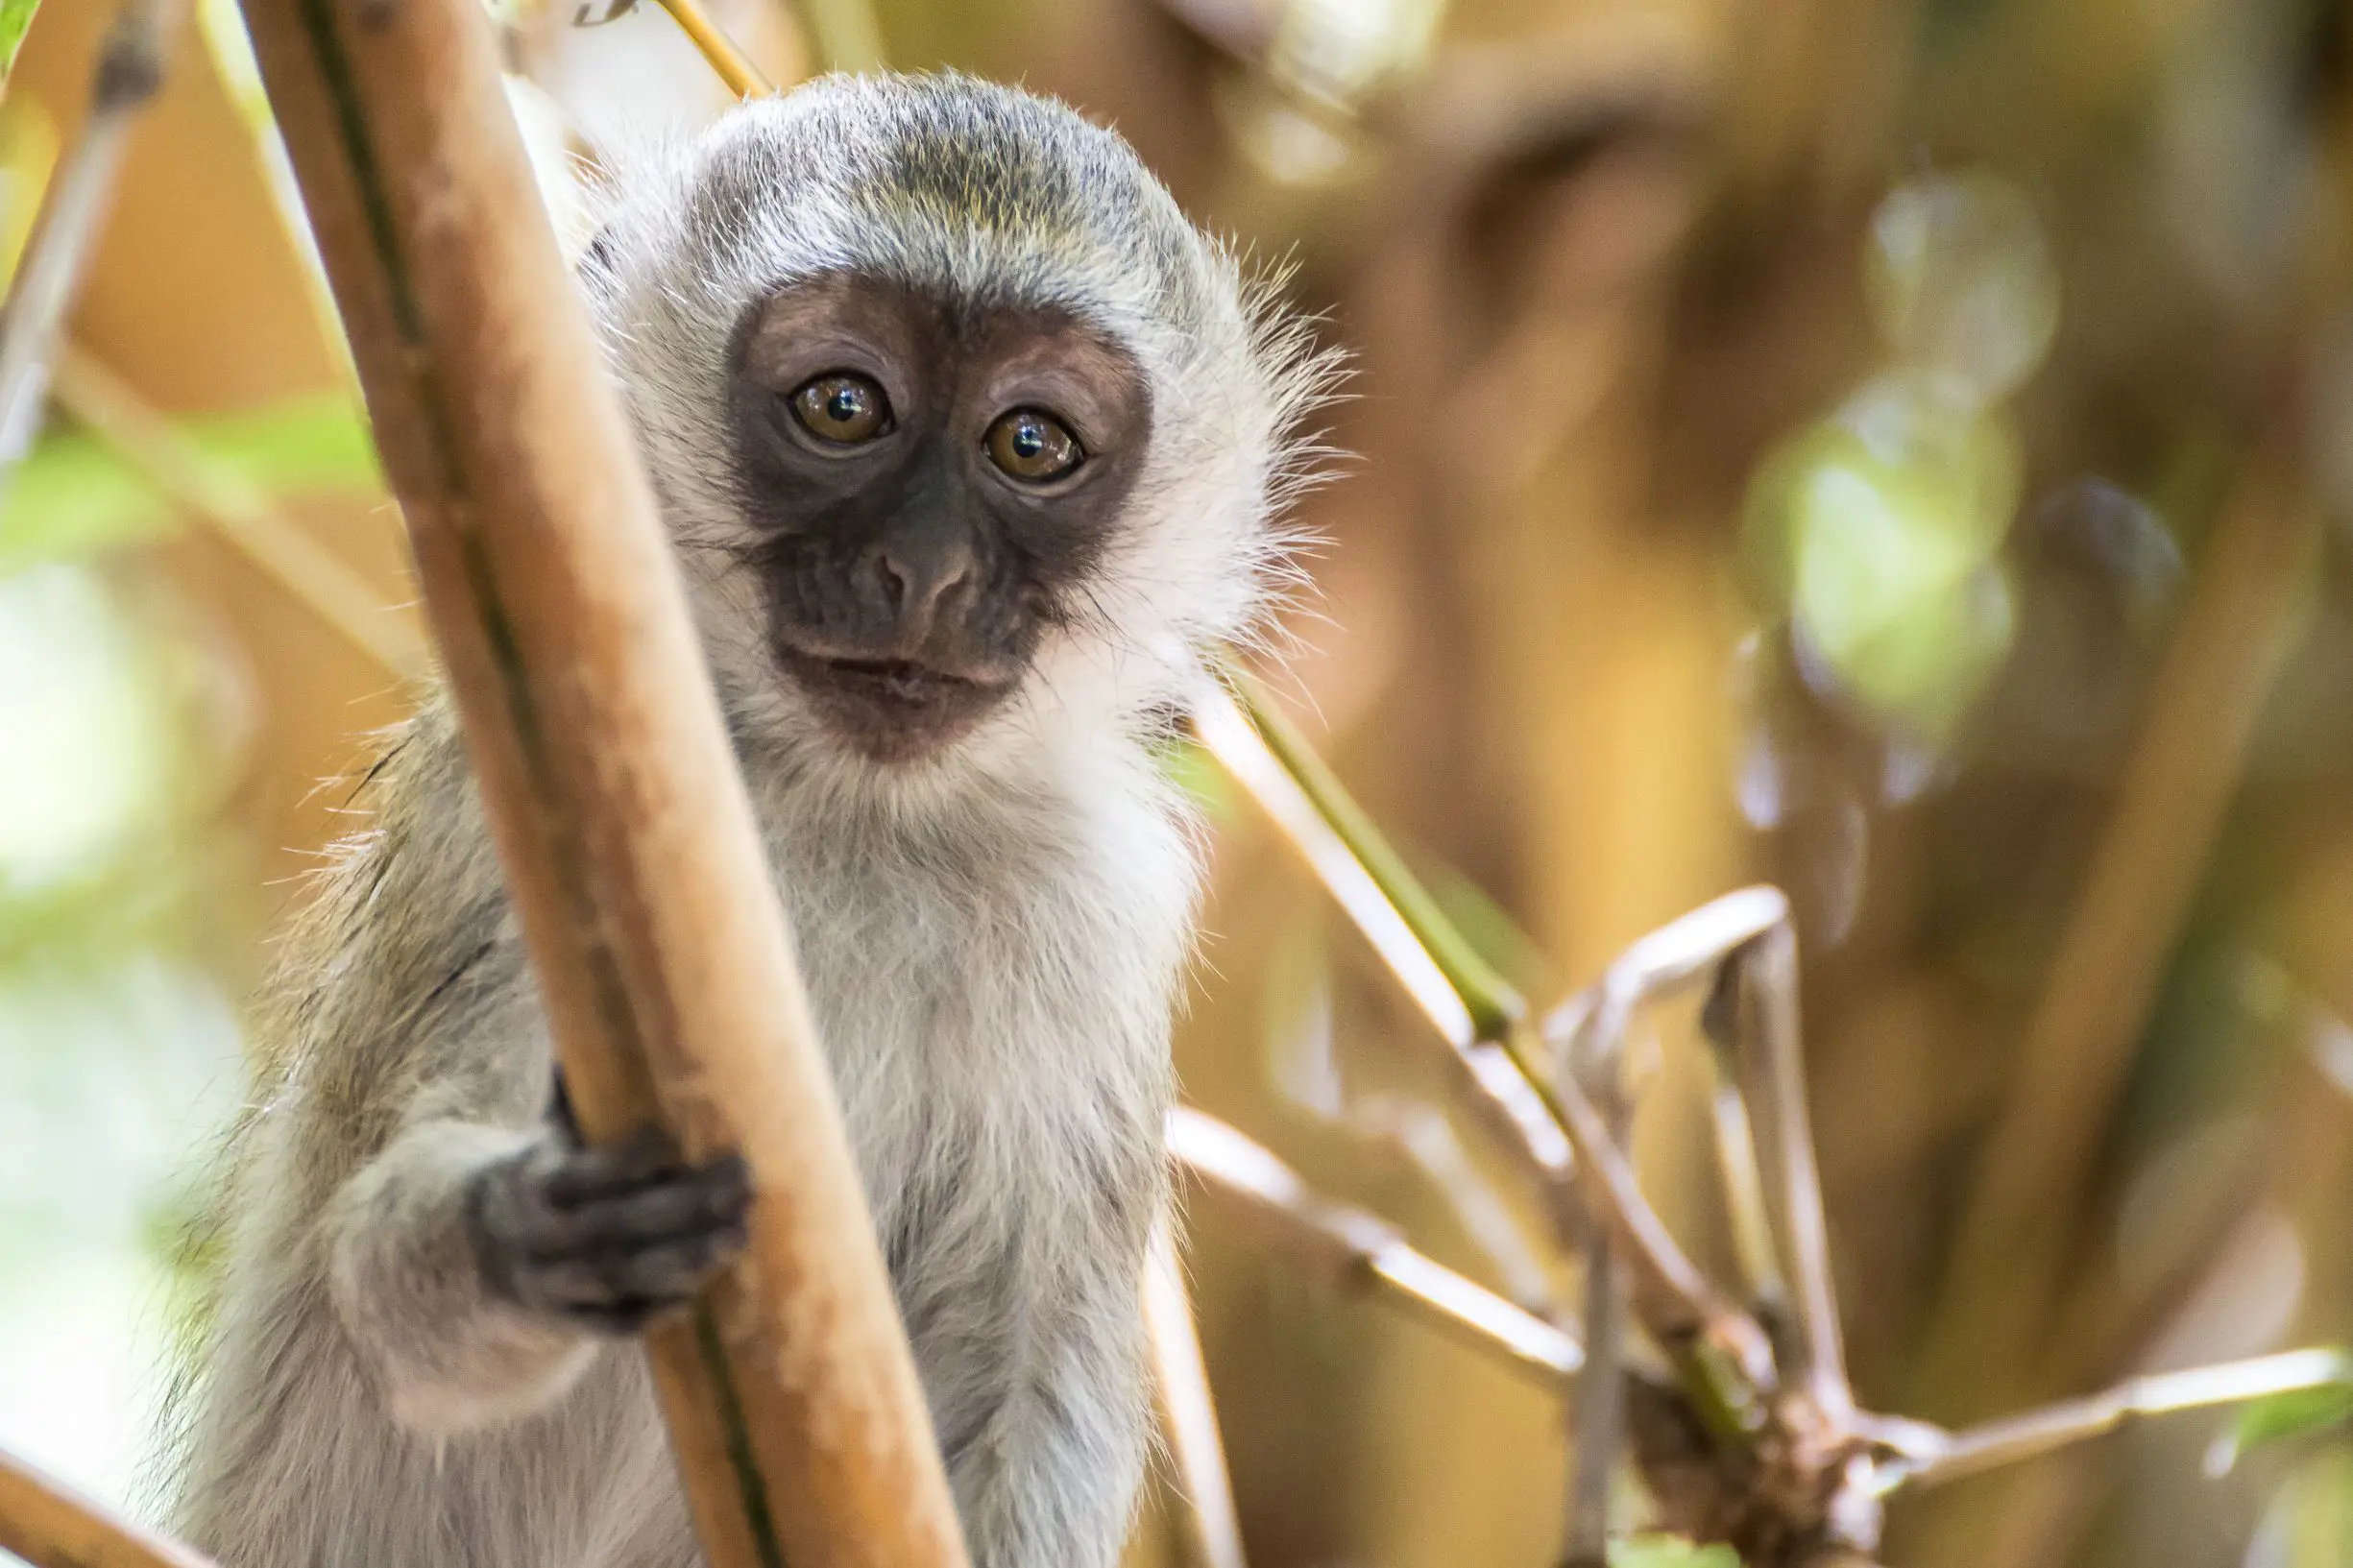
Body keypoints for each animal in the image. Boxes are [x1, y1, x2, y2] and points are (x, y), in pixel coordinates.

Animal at [161, 72, 1326, 1568]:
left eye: (1030, 444)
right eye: (842, 406)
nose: (923, 572)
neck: (847, 812)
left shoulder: (1097, 913)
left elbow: (1033, 1379)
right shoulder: (502, 822)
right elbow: (375, 1268)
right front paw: (522, 1232)